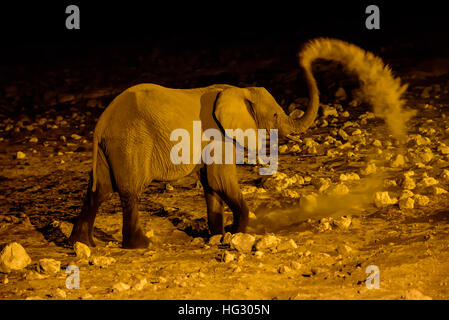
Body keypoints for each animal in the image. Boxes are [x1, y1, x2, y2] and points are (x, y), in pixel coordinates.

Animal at [69, 37, 410, 248]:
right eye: (275, 115)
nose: (307, 57)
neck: (239, 89)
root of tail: (101, 124)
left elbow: (210, 184)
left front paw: (218, 234)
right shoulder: (217, 134)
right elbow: (220, 179)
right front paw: (239, 232)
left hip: (111, 147)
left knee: (98, 190)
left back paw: (82, 244)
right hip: (131, 142)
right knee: (129, 191)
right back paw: (139, 246)